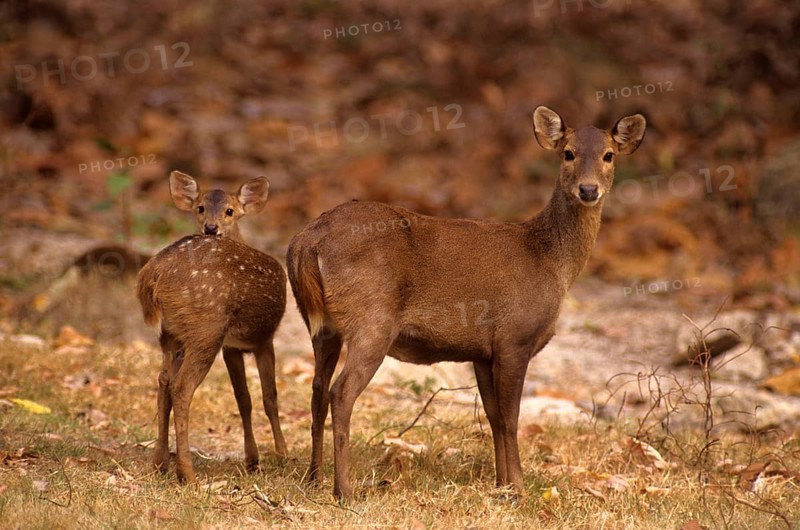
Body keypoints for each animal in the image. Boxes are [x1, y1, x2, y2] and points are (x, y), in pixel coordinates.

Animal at [136, 171, 287, 483]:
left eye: (230, 211)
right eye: (200, 208)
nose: (210, 228)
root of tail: (152, 272)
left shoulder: (233, 346)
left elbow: (244, 399)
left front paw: (253, 459)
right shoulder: (264, 339)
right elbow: (269, 397)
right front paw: (282, 454)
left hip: (172, 333)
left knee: (163, 381)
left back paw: (159, 463)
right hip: (206, 329)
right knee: (181, 388)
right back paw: (188, 474)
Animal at [286, 106, 646, 499]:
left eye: (608, 155)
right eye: (568, 153)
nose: (588, 189)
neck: (550, 262)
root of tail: (307, 242)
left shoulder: (482, 352)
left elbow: (493, 415)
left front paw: (501, 483)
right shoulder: (514, 338)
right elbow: (511, 417)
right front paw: (518, 488)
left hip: (321, 326)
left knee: (317, 389)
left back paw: (314, 478)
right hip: (372, 320)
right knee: (341, 391)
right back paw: (344, 490)